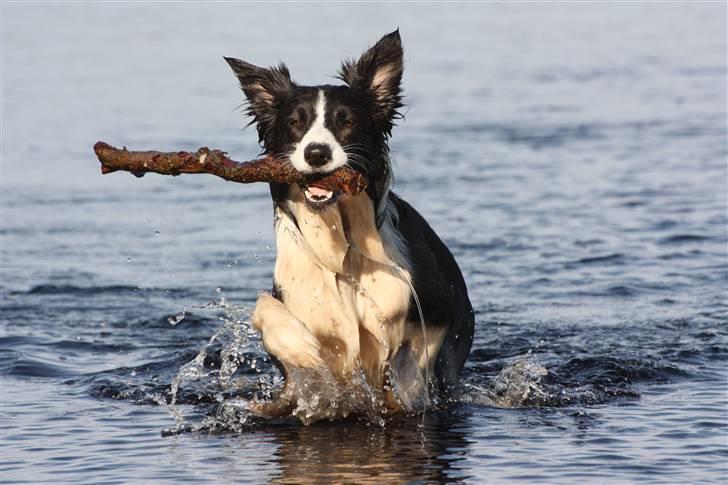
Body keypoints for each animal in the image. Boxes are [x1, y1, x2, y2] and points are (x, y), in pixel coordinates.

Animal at [228, 30, 478, 416]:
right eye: (295, 123)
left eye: (346, 122)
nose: (317, 153)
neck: (339, 249)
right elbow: (265, 306)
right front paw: (300, 346)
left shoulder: (434, 302)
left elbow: (408, 354)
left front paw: (401, 382)